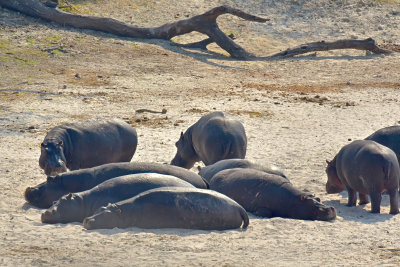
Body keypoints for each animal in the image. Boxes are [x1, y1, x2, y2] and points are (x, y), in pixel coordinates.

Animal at [209, 169, 338, 221]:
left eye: (318, 198)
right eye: (310, 201)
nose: (330, 208)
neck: (293, 200)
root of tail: (215, 175)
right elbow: (266, 213)